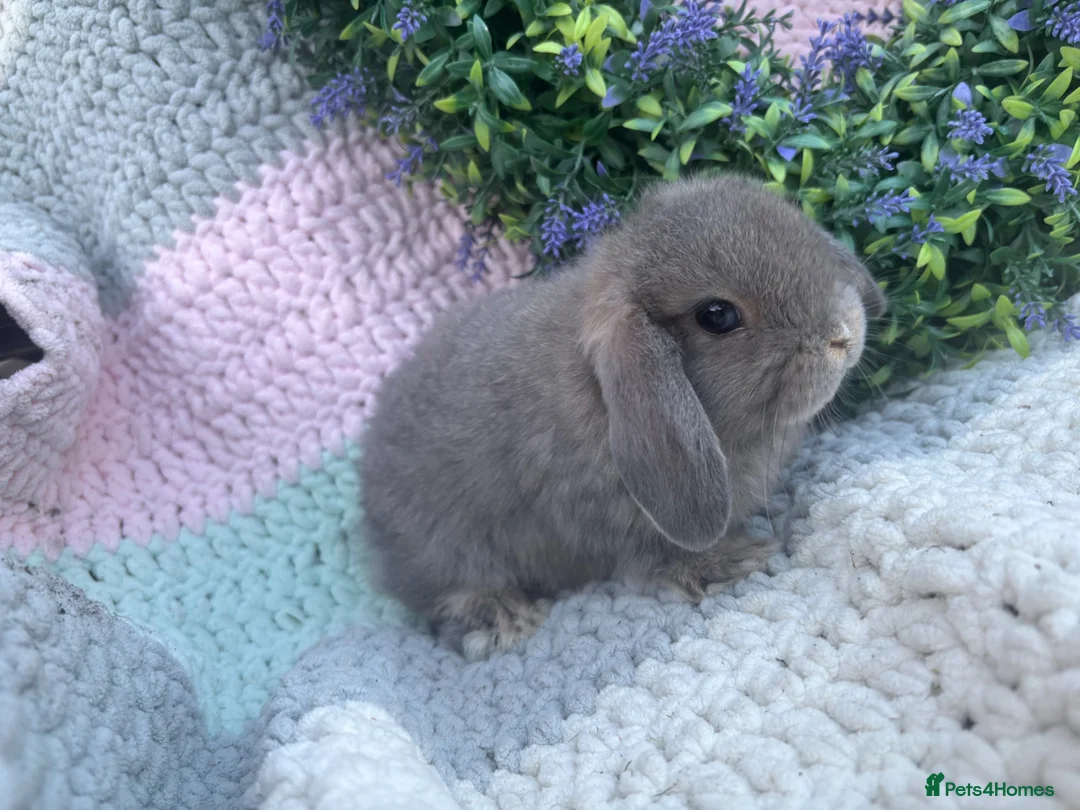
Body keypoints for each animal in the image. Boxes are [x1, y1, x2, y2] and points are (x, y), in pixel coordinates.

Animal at [358, 173, 887, 660]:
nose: (843, 335)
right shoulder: (607, 524)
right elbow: (660, 556)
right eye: (717, 316)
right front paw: (739, 559)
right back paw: (505, 614)